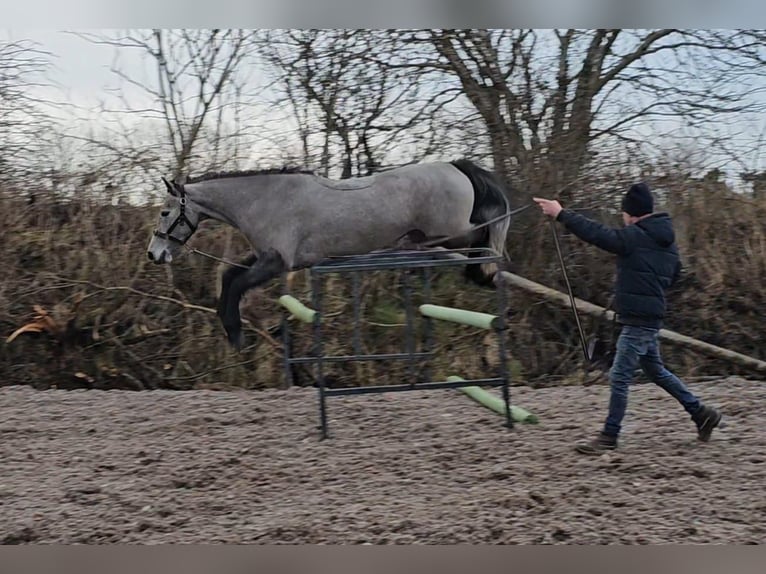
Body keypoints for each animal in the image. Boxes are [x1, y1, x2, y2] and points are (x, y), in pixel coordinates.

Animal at [147, 158, 512, 348]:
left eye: (165, 212)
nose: (154, 254)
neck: (264, 200)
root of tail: (454, 166)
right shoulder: (269, 258)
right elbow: (228, 276)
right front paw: (229, 328)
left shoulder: (277, 262)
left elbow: (236, 284)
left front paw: (236, 335)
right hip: (436, 236)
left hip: (452, 233)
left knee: (485, 237)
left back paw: (484, 274)